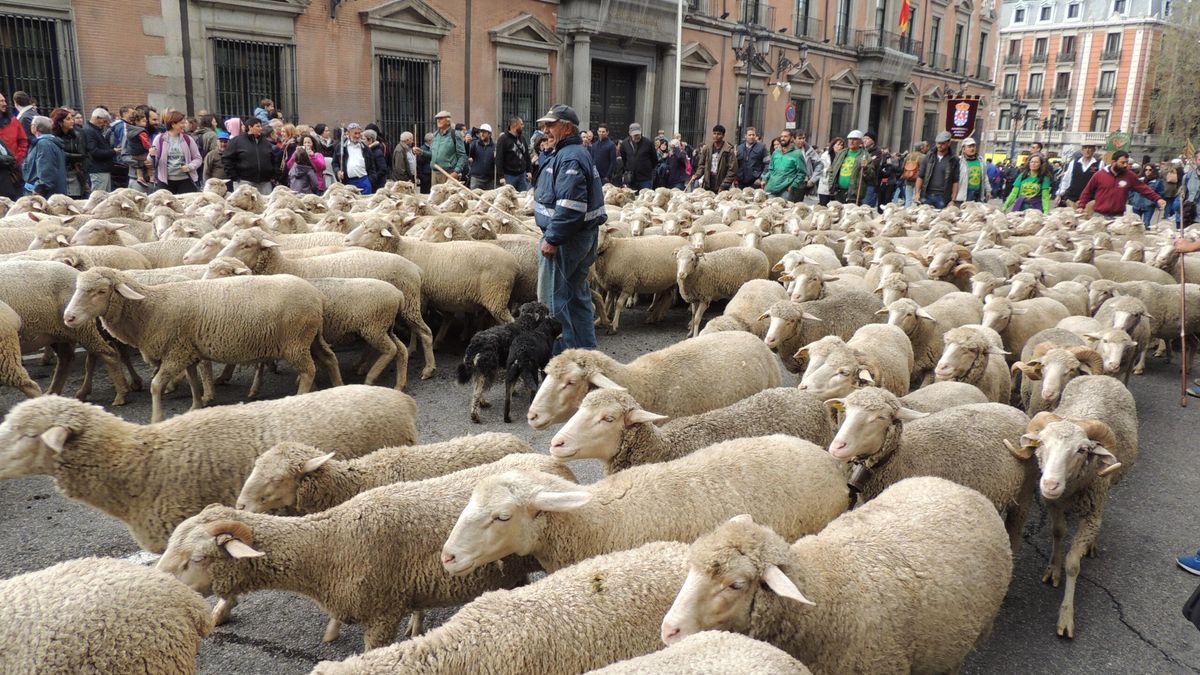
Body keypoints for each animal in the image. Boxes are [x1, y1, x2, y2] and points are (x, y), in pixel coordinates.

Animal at [0, 260, 132, 405]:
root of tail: (76, 273)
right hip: (56, 334)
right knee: (67, 359)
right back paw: (55, 393)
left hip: (81, 329)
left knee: (108, 355)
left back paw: (120, 394)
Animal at [62, 267, 343, 422]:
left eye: (100, 291)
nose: (69, 318)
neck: (151, 308)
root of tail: (317, 297)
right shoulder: (187, 350)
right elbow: (194, 381)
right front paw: (196, 407)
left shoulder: (174, 352)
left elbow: (156, 386)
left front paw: (156, 418)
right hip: (310, 338)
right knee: (329, 359)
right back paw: (339, 387)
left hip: (295, 341)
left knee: (309, 370)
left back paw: (301, 397)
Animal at [215, 226, 435, 379]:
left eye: (246, 245)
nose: (217, 258)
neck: (288, 266)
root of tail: (415, 268)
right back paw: (363, 365)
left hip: (408, 305)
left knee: (425, 333)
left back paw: (428, 369)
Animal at [343, 220, 519, 324]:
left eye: (370, 231)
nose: (345, 240)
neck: (401, 249)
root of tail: (513, 262)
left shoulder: (420, 296)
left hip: (497, 296)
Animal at [1006, 376, 1138, 638]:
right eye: (1041, 443)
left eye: (1082, 450)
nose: (1049, 484)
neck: (1071, 490)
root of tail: (1103, 376)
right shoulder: (1053, 504)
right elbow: (1058, 532)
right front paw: (1053, 569)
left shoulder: (1092, 511)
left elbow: (1073, 565)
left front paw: (1066, 616)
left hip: (1106, 489)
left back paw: (1093, 544)